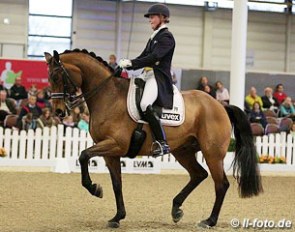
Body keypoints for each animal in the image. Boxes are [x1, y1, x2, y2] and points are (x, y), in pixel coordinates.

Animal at [44, 49, 264, 229]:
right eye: (49, 77)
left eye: (56, 76)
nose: (59, 112)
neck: (108, 96)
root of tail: (220, 105)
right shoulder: (110, 152)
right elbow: (117, 183)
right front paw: (117, 217)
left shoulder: (114, 145)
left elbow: (83, 155)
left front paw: (95, 189)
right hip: (183, 151)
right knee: (198, 174)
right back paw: (176, 209)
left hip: (212, 153)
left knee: (221, 184)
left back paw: (209, 221)